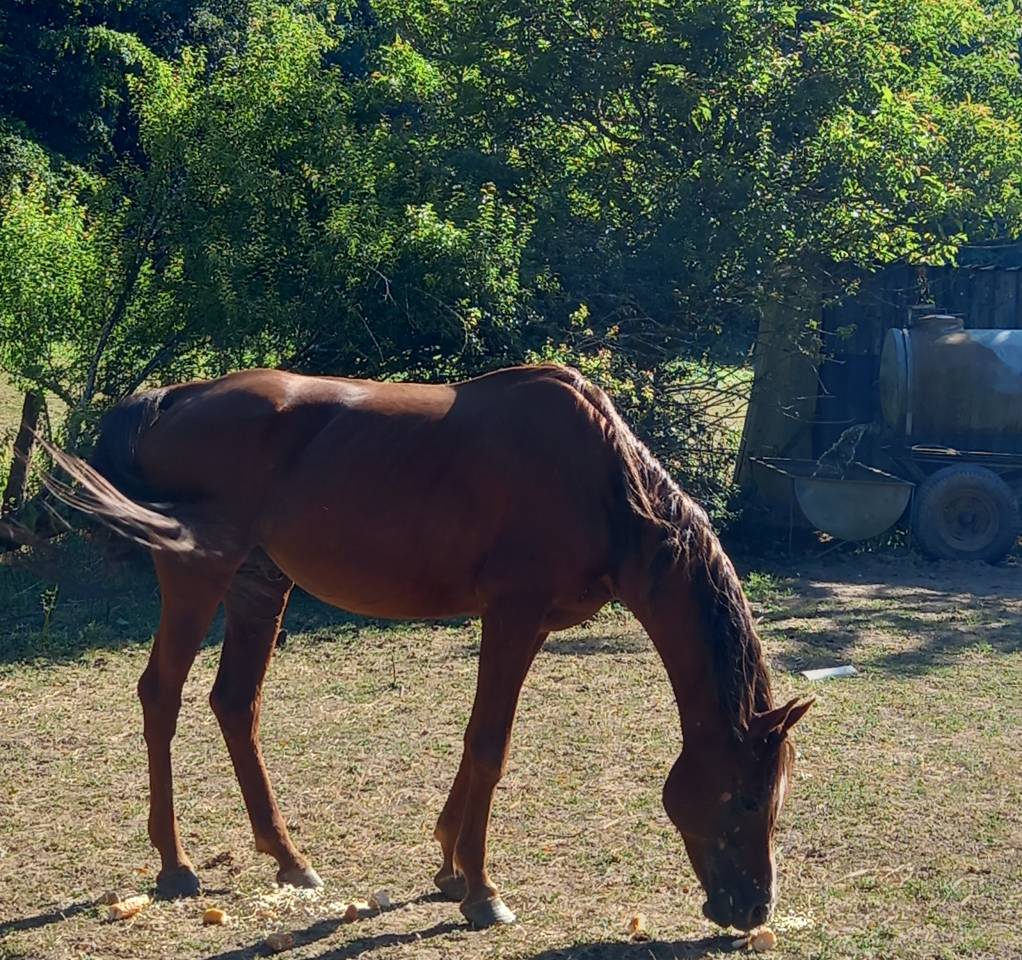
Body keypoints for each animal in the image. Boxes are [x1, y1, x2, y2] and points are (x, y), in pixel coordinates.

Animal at [45, 363, 811, 931]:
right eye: (748, 799)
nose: (753, 909)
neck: (604, 482)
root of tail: (176, 398)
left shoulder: (524, 625)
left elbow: (478, 744)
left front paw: (448, 867)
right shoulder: (512, 617)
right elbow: (490, 745)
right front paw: (483, 890)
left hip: (258, 587)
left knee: (236, 704)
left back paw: (288, 857)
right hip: (197, 574)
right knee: (161, 695)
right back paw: (175, 865)